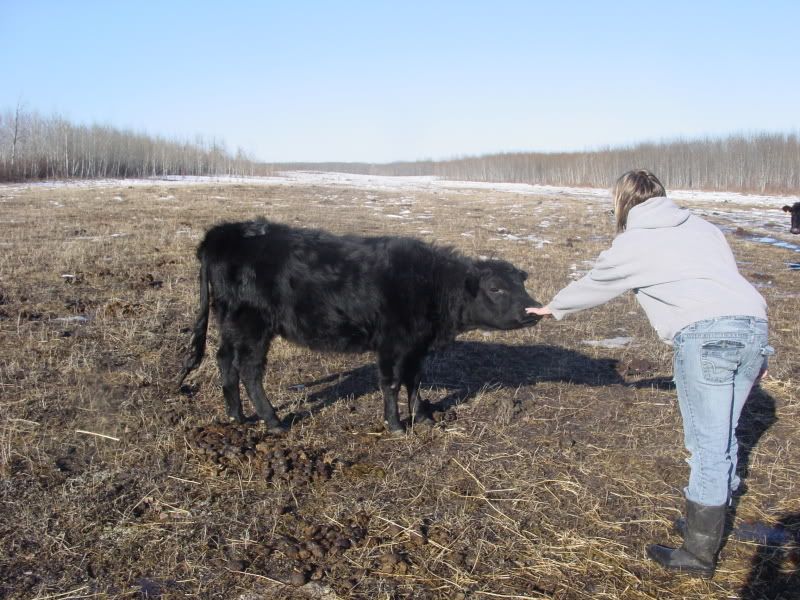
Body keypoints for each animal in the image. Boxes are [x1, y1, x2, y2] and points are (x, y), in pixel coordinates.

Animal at [177, 219, 541, 433]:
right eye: (495, 288)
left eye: (521, 282)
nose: (533, 311)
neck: (430, 285)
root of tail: (222, 233)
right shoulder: (392, 343)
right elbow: (391, 383)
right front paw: (395, 425)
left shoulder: (416, 346)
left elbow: (415, 381)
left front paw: (423, 416)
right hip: (252, 325)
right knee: (250, 370)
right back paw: (274, 422)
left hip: (230, 320)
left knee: (224, 359)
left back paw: (236, 415)